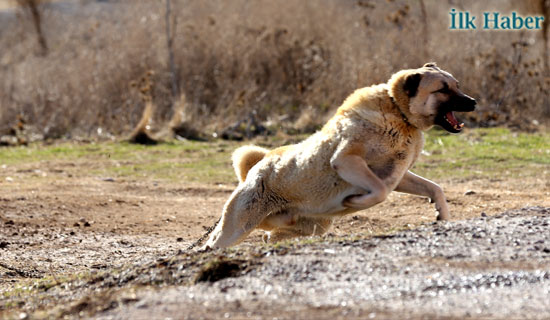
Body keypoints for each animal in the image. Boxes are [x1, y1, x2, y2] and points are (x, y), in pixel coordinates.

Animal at [205, 62, 476, 248]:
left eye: (457, 85)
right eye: (442, 89)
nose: (473, 102)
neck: (398, 112)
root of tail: (258, 166)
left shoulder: (401, 176)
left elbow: (434, 188)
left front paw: (443, 216)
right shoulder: (347, 161)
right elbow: (380, 191)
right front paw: (354, 202)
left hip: (305, 227)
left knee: (269, 237)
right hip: (238, 226)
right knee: (214, 243)